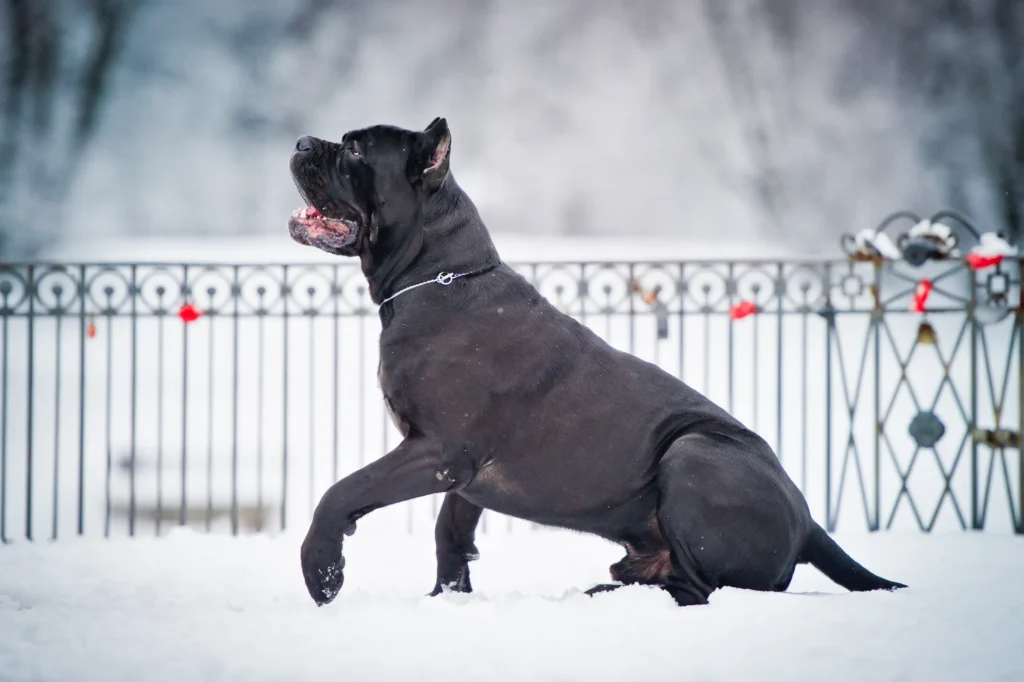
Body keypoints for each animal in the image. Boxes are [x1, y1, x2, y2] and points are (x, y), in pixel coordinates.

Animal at [288, 118, 905, 606]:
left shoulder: (438, 451)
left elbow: (342, 491)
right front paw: (448, 600)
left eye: (356, 150)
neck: (437, 277)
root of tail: (809, 524)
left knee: (702, 587)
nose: (300, 142)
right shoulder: (458, 473)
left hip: (693, 454)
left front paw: (323, 573)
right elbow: (450, 533)